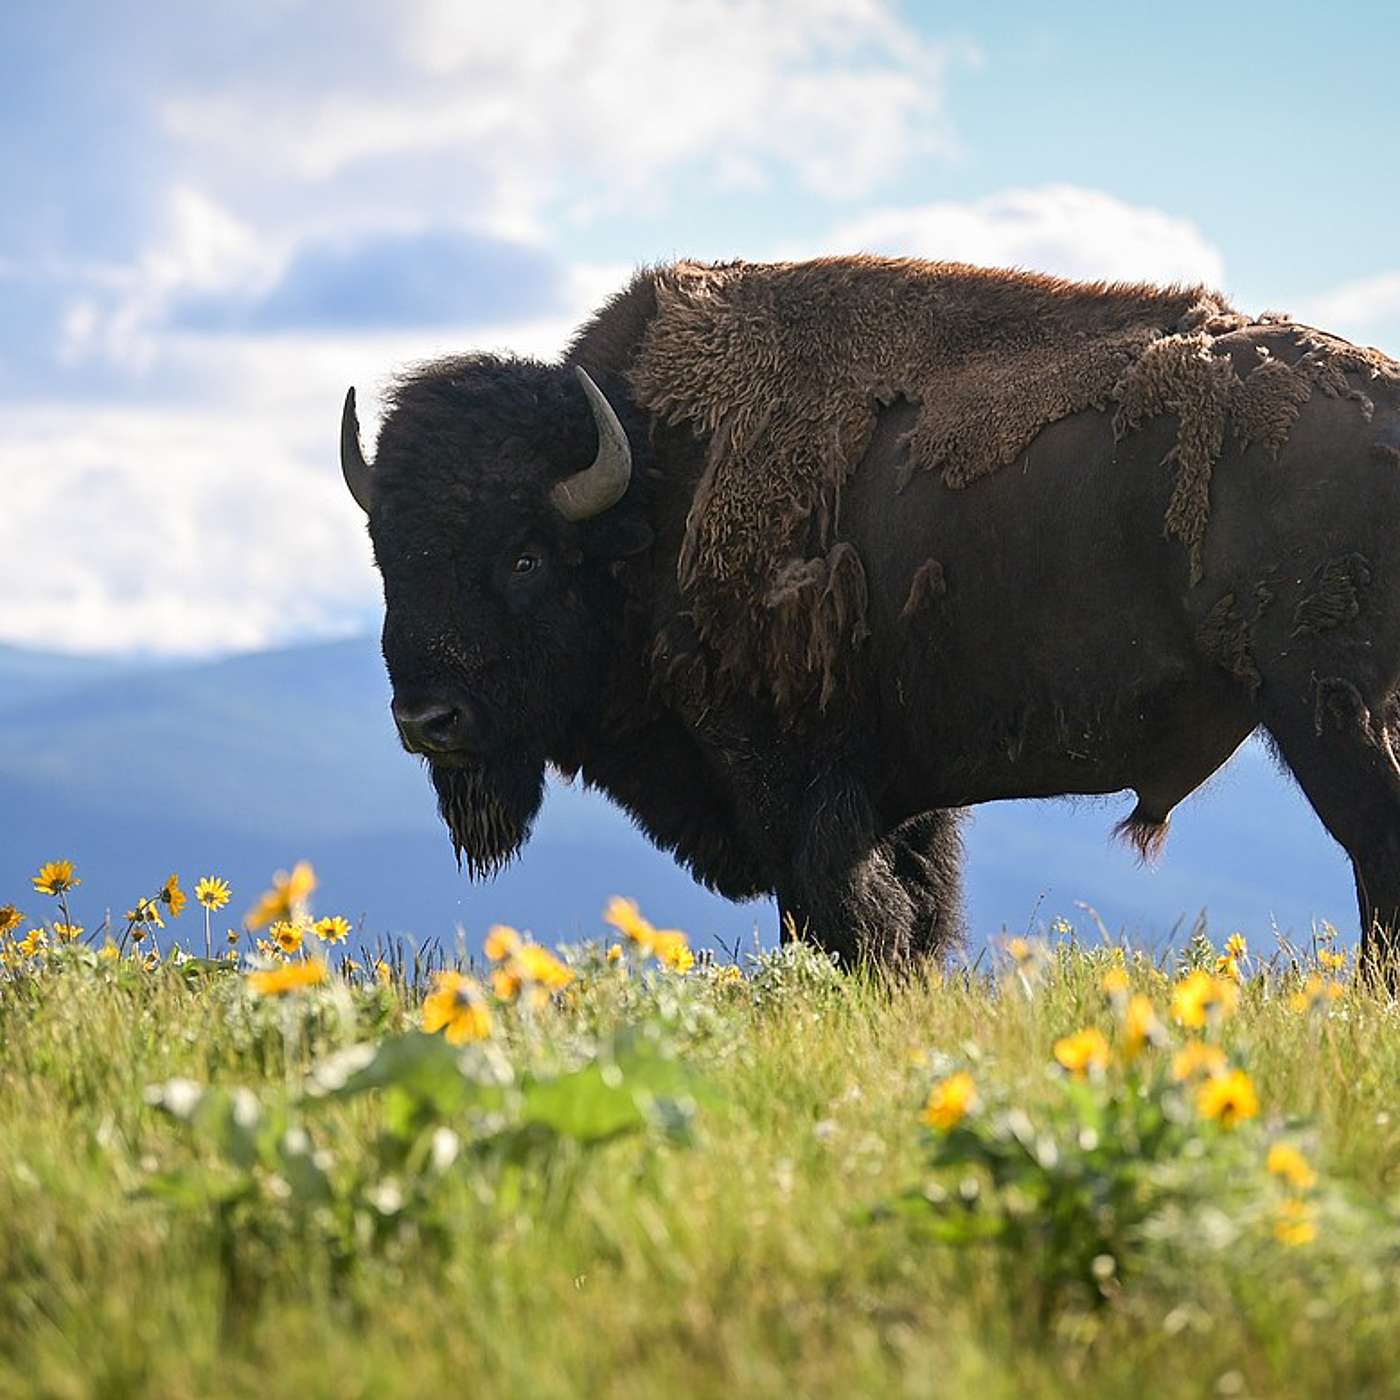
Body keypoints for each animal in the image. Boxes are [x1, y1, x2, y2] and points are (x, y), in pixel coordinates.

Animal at [341, 256, 1400, 975]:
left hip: (1323, 709)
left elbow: (846, 918)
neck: (650, 490)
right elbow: (916, 916)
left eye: (523, 556)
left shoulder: (793, 785)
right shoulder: (905, 797)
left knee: (1373, 842)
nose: (427, 721)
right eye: (386, 556)